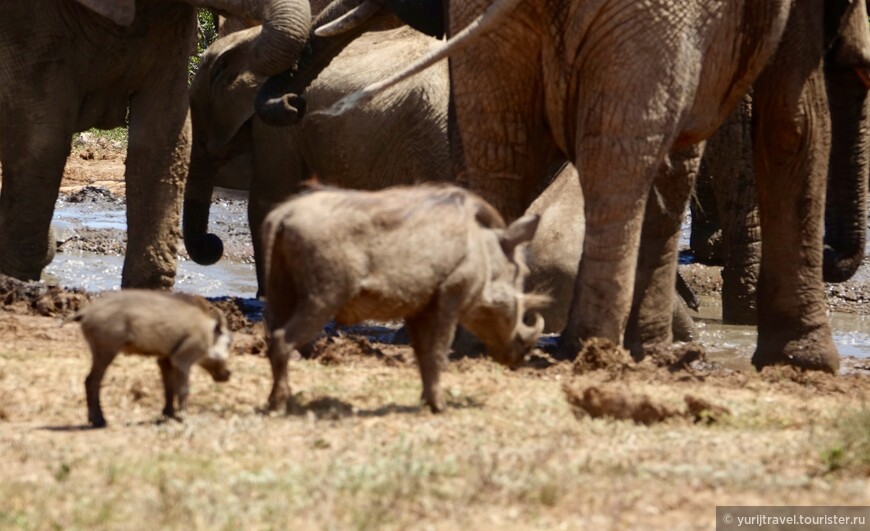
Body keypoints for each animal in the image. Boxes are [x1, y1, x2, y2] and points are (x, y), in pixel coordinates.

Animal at [282, 0, 870, 374]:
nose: (289, 102)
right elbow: (794, 125)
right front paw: (805, 362)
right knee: (617, 152)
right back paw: (597, 349)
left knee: (504, 147)